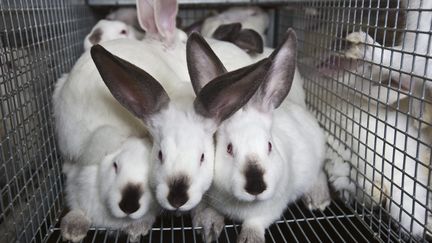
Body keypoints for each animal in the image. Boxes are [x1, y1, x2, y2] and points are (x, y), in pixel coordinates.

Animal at [190, 30, 330, 243]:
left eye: (269, 146)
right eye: (229, 148)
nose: (256, 187)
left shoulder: (272, 208)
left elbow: (255, 222)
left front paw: (250, 238)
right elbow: (209, 210)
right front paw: (208, 227)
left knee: (319, 173)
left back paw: (318, 198)